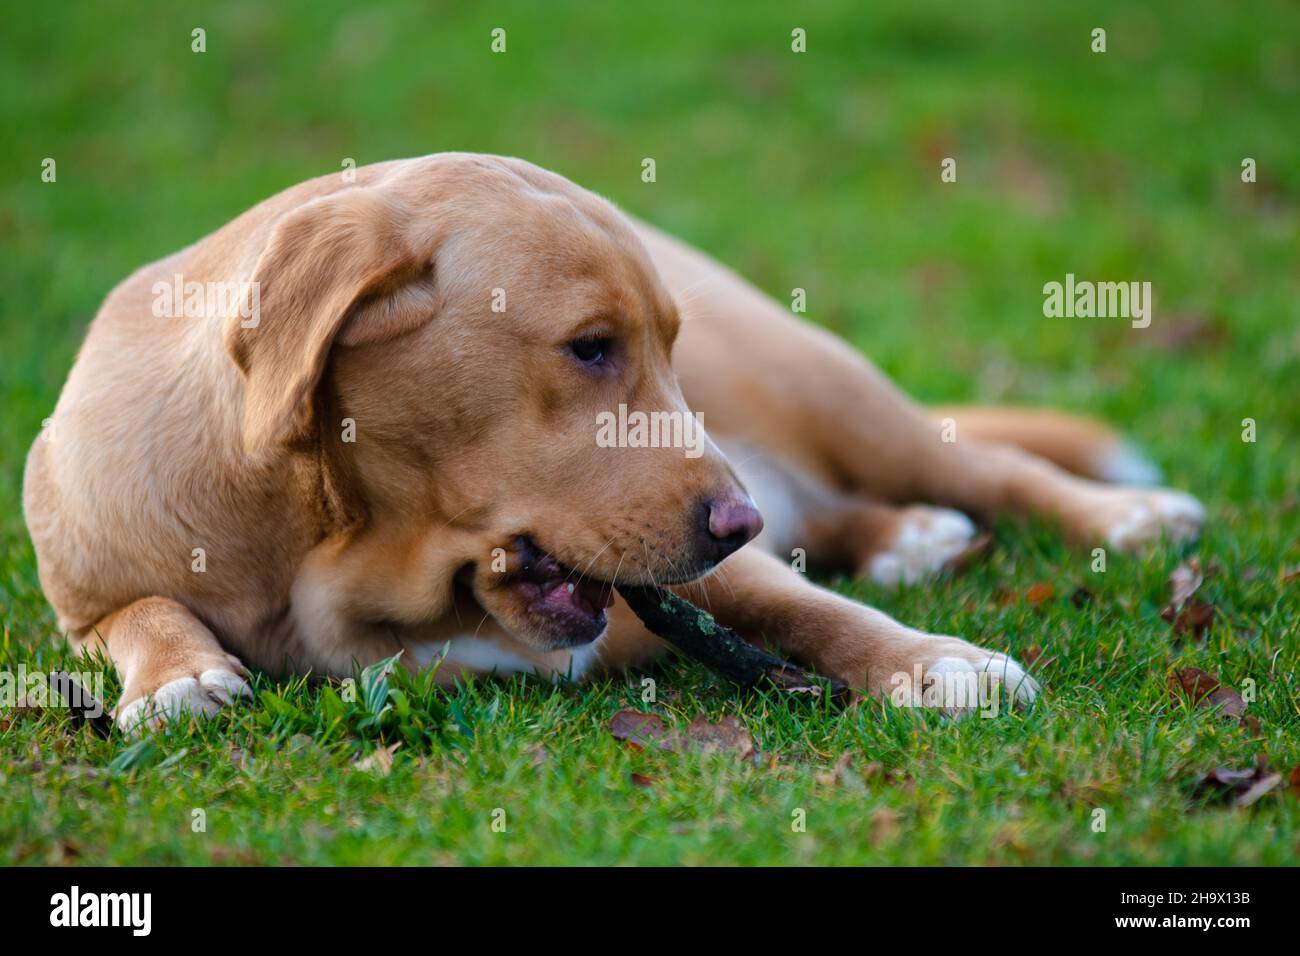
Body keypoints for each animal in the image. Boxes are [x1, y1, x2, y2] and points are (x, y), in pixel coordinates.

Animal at [20, 153, 1201, 728]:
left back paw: (1126, 516)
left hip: (836, 392)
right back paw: (904, 535)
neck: (333, 551)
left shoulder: (712, 563)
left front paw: (936, 664)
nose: (738, 518)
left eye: (662, 345)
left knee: (982, 464)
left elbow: (808, 609)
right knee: (845, 509)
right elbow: (138, 614)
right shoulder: (83, 589)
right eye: (590, 348)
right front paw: (174, 676)